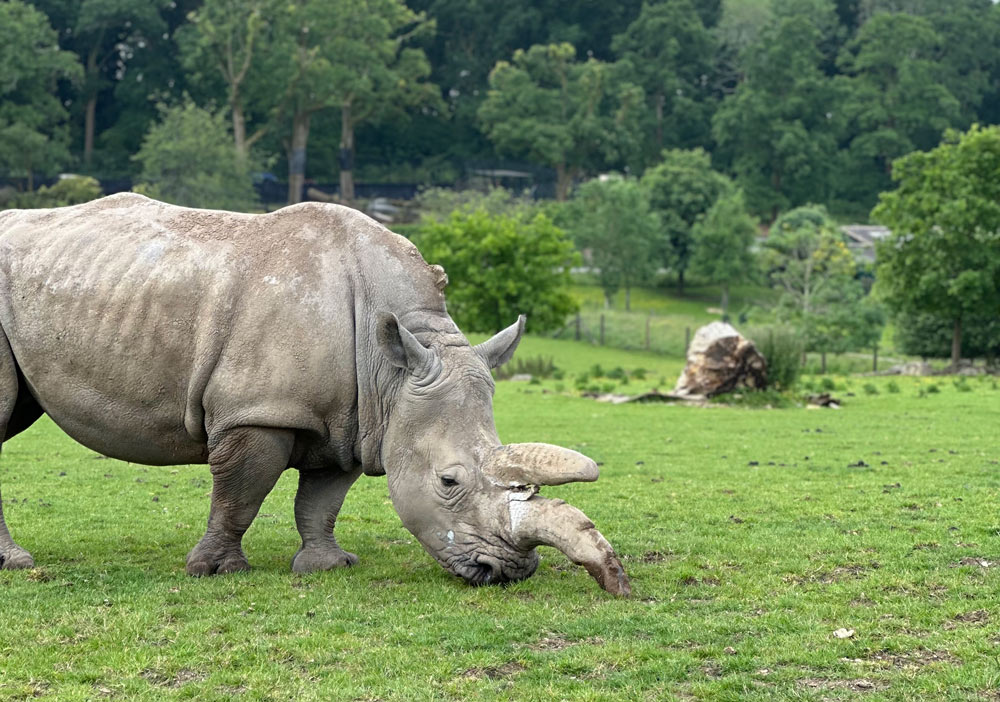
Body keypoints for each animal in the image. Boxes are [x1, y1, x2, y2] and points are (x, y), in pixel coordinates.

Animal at [0, 193, 630, 595]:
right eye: (448, 483)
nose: (507, 572)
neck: (393, 366)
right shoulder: (258, 412)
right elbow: (241, 493)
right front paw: (216, 572)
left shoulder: (356, 418)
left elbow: (322, 498)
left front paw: (327, 567)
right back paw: (17, 565)